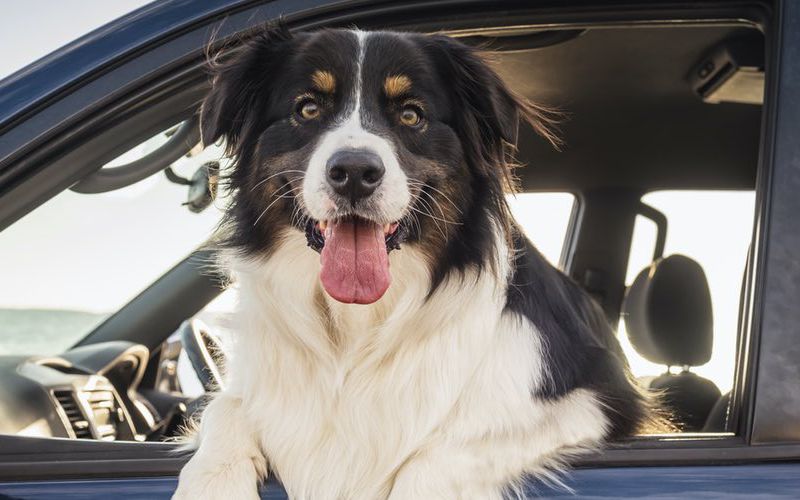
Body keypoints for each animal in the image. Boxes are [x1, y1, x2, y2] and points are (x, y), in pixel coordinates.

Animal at [175, 24, 648, 500]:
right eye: (307, 108)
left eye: (410, 115)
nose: (354, 172)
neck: (355, 329)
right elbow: (225, 407)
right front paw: (212, 482)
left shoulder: (595, 399)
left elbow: (440, 456)